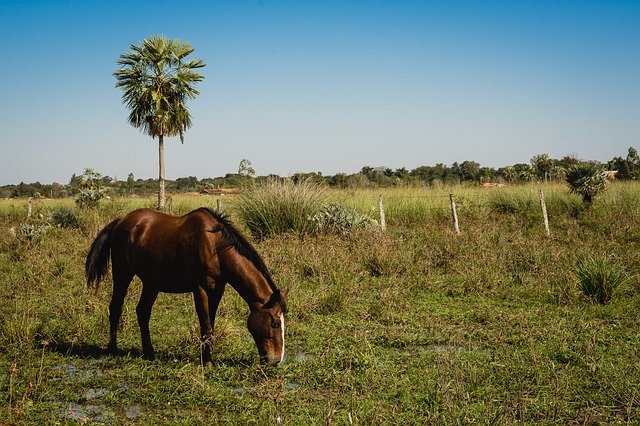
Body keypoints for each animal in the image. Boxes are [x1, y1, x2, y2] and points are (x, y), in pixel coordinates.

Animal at [85, 207, 288, 366]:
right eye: (275, 323)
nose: (276, 360)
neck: (215, 247)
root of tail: (121, 222)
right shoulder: (200, 290)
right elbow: (205, 326)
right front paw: (208, 362)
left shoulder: (216, 291)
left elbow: (210, 325)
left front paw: (205, 358)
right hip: (122, 275)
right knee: (115, 307)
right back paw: (112, 348)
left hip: (151, 284)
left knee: (142, 312)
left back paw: (149, 352)